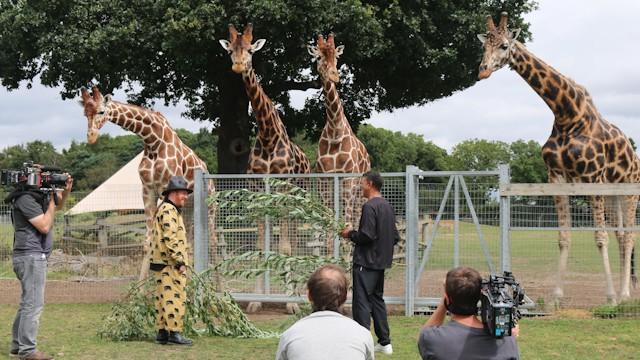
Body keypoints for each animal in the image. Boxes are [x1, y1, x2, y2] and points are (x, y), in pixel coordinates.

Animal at [79, 86, 215, 282]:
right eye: (85, 113)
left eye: (101, 111)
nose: (91, 137)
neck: (153, 141)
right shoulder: (148, 190)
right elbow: (148, 243)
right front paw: (139, 288)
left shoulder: (164, 189)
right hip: (190, 208)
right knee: (189, 242)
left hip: (210, 205)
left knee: (213, 242)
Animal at [219, 23, 312, 314]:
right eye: (231, 50)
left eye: (250, 50)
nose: (238, 65)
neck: (268, 136)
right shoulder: (258, 192)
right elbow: (261, 245)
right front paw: (257, 299)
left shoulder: (283, 191)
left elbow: (285, 246)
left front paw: (291, 302)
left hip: (297, 199)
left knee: (294, 241)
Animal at [308, 33, 372, 256]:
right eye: (319, 57)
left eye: (337, 57)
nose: (335, 76)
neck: (335, 130)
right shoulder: (325, 181)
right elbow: (328, 225)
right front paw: (328, 257)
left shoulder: (348, 180)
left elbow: (347, 222)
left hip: (359, 190)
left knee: (355, 216)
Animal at [478, 12, 636, 302]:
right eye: (484, 46)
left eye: (504, 45)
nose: (482, 70)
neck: (566, 114)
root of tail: (634, 155)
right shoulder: (557, 177)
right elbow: (564, 236)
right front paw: (557, 295)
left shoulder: (593, 178)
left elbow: (600, 237)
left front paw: (609, 296)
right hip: (613, 196)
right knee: (621, 235)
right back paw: (624, 294)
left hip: (629, 191)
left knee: (628, 236)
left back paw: (624, 295)